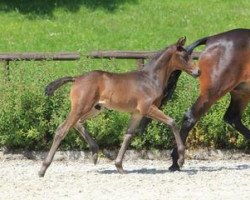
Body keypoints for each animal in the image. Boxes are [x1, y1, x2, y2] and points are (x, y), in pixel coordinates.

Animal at [38, 37, 199, 177]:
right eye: (184, 56)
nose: (198, 72)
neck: (150, 79)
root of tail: (77, 78)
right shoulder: (148, 108)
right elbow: (172, 122)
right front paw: (181, 159)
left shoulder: (137, 113)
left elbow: (128, 136)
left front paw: (119, 166)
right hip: (81, 107)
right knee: (62, 130)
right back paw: (43, 169)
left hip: (95, 108)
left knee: (77, 123)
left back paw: (95, 152)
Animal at [169, 28, 250, 171]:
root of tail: (211, 40)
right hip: (213, 92)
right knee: (191, 116)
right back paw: (176, 162)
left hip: (242, 92)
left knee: (232, 117)